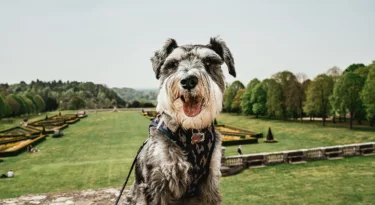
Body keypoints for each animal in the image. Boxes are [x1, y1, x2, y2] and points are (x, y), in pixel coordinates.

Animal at [125, 37, 236, 205]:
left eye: (209, 62)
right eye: (173, 64)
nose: (188, 81)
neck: (192, 130)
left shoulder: (210, 183)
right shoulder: (157, 184)